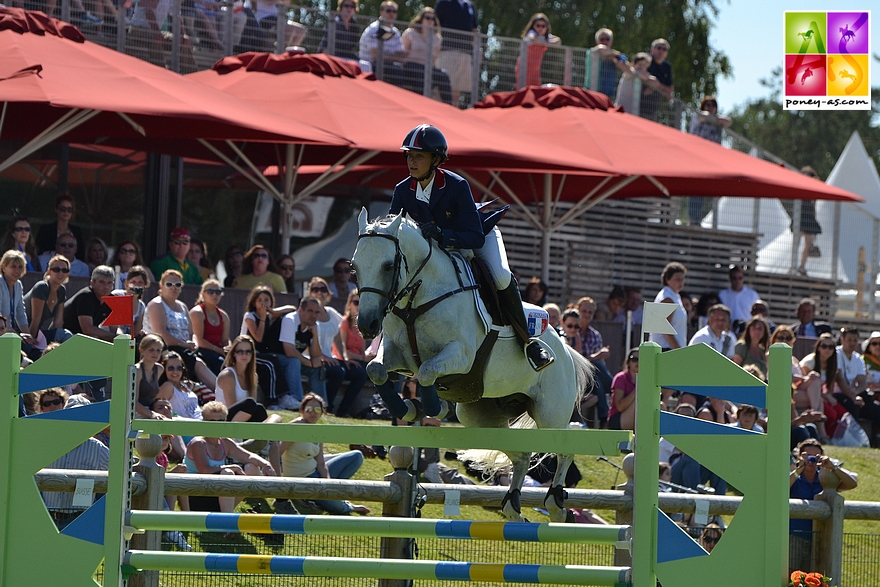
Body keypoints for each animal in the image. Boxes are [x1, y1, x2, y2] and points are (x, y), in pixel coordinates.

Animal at [350, 209, 592, 520]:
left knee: (565, 448)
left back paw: (556, 504)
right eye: (355, 267)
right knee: (522, 455)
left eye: (388, 265)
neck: (418, 299)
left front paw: (434, 407)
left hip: (550, 413)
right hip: (481, 417)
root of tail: (565, 349)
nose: (367, 325)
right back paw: (513, 507)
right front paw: (407, 408)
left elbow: (427, 371)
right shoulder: (395, 354)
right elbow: (376, 370)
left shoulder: (461, 355)